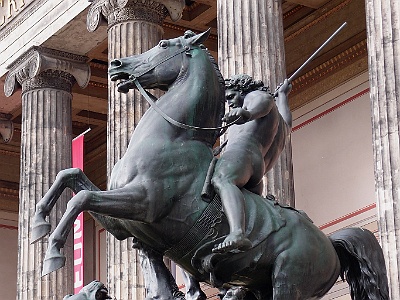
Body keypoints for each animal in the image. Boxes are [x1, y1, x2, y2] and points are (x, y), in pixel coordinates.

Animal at [32, 31, 390, 300]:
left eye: (164, 44)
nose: (117, 63)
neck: (174, 137)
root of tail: (329, 241)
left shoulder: (143, 203)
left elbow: (80, 198)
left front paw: (52, 252)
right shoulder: (121, 223)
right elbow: (70, 176)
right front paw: (38, 221)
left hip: (289, 281)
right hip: (260, 285)